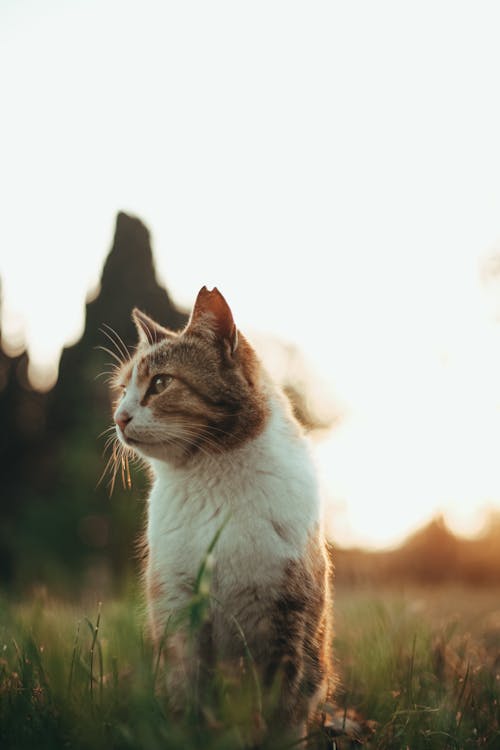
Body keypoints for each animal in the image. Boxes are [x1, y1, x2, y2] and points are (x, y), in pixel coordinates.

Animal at [111, 288, 334, 748]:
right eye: (123, 389)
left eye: (161, 383)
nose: (119, 417)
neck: (209, 477)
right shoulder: (178, 608)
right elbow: (188, 692)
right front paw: (188, 732)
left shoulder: (284, 616)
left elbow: (279, 706)